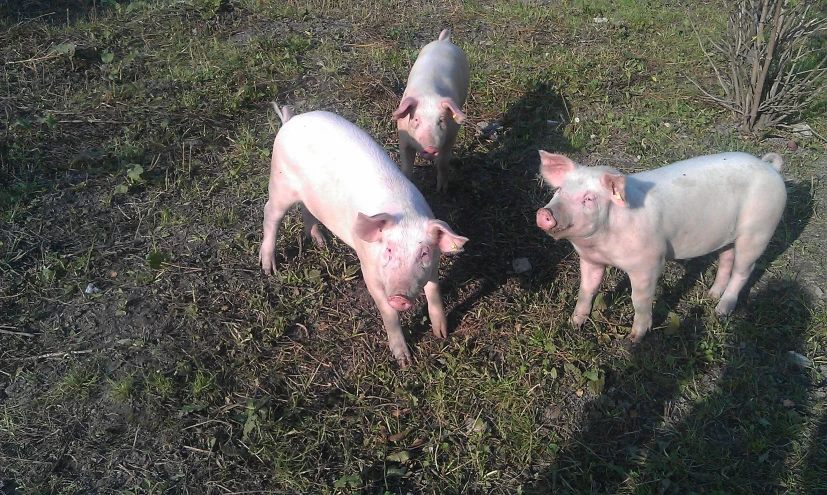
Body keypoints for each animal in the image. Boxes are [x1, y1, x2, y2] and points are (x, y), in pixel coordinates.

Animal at [260, 104, 466, 366]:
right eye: (388, 249)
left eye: (424, 253)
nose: (400, 296)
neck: (407, 214)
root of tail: (290, 121)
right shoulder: (368, 269)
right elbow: (388, 312)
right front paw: (404, 361)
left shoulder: (434, 266)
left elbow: (434, 293)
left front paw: (442, 334)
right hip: (279, 184)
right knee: (270, 214)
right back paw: (269, 268)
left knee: (307, 210)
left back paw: (321, 242)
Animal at [392, 28, 468, 193]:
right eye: (415, 119)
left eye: (441, 120)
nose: (431, 148)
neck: (429, 96)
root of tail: (444, 41)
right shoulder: (404, 138)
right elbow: (406, 168)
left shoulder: (451, 136)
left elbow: (443, 162)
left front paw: (442, 190)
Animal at [536, 152, 788, 344]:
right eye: (560, 191)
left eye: (589, 199)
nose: (544, 213)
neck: (602, 245)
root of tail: (770, 167)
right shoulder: (590, 259)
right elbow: (587, 290)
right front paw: (574, 323)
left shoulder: (648, 264)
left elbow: (640, 300)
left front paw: (635, 339)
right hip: (728, 236)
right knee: (726, 260)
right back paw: (711, 295)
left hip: (759, 230)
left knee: (744, 270)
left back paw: (720, 310)